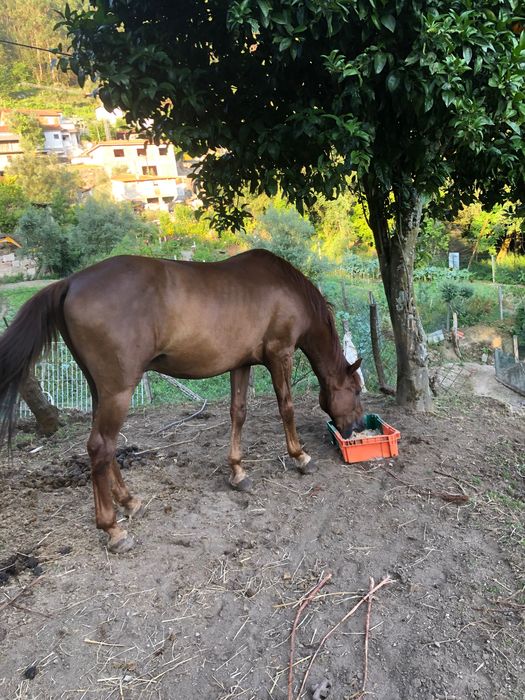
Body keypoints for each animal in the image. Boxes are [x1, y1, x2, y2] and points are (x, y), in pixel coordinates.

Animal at [0, 249, 364, 553]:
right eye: (358, 390)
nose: (357, 428)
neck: (285, 287)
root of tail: (70, 282)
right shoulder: (280, 354)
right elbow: (286, 407)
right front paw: (300, 456)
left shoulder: (241, 364)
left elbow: (238, 413)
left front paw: (238, 471)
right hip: (118, 392)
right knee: (100, 446)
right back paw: (113, 529)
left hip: (99, 390)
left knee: (105, 447)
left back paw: (129, 501)